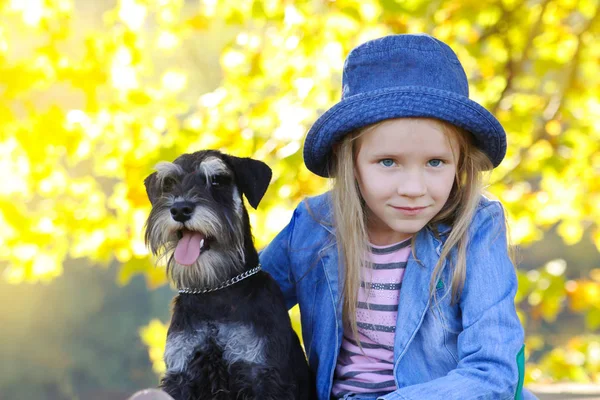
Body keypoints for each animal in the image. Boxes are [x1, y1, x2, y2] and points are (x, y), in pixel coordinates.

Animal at [144, 151, 314, 400]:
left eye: (216, 180)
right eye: (169, 183)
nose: (179, 209)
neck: (215, 290)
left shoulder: (261, 373)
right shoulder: (182, 373)